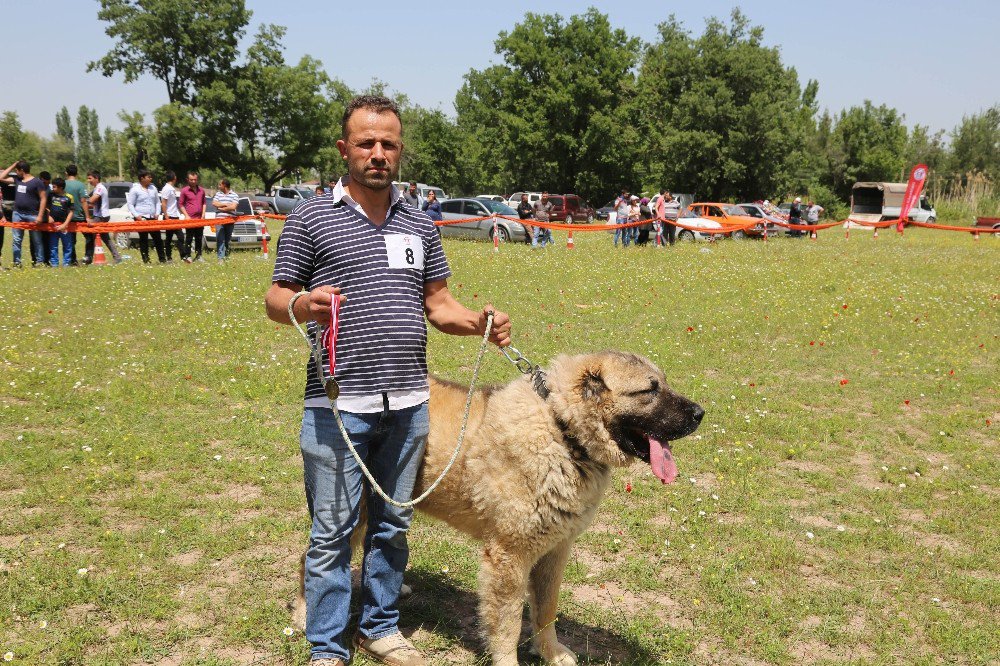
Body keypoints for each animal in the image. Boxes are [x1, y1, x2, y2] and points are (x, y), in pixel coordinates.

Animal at [292, 350, 708, 660]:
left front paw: (550, 652)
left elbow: (545, 611)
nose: (700, 413)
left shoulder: (555, 551)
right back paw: (302, 616)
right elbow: (507, 624)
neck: (562, 431)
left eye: (664, 382)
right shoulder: (509, 557)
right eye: (649, 390)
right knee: (313, 558)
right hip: (352, 508)